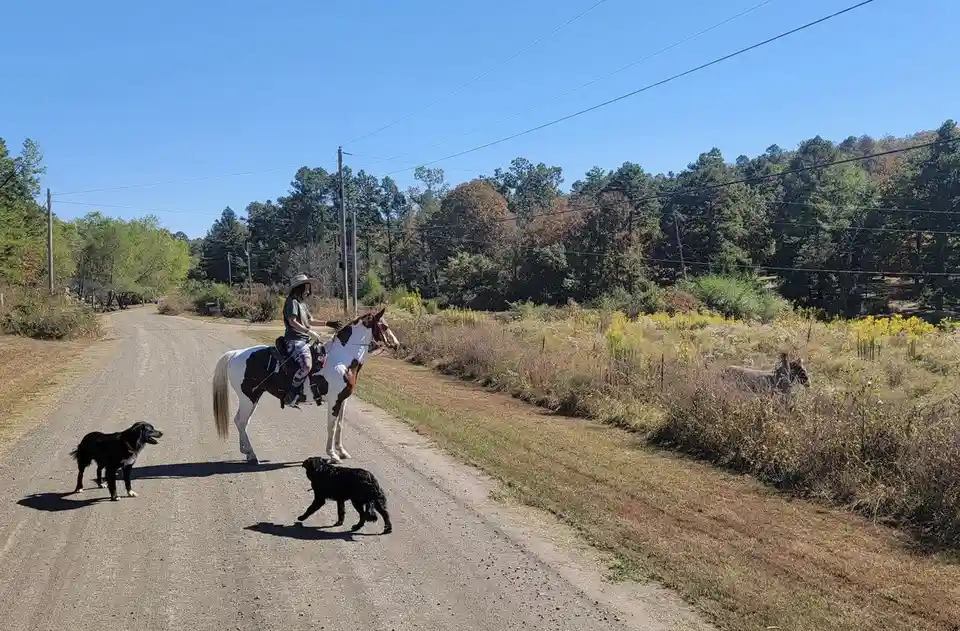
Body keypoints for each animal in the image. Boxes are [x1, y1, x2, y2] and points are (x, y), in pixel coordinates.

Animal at [210, 307, 400, 464]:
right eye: (384, 326)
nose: (397, 345)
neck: (342, 359)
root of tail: (235, 354)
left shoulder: (343, 400)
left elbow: (339, 426)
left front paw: (342, 451)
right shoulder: (334, 401)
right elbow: (331, 427)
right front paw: (333, 454)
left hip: (253, 397)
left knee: (242, 422)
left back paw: (246, 452)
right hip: (248, 398)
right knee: (241, 421)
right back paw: (251, 454)